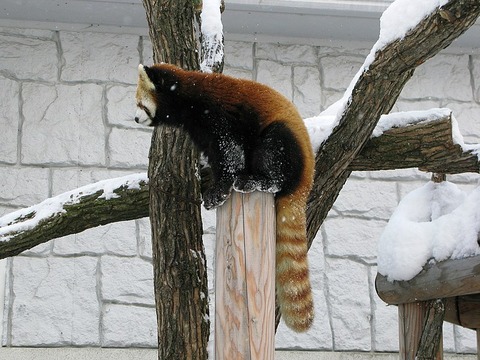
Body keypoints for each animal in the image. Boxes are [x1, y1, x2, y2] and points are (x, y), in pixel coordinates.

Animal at [135, 62, 316, 332]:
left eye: (139, 103)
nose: (135, 118)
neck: (188, 98)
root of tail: (306, 181)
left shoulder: (218, 116)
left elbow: (230, 153)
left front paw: (220, 190)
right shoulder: (201, 133)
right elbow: (217, 157)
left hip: (286, 145)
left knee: (274, 148)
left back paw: (259, 180)